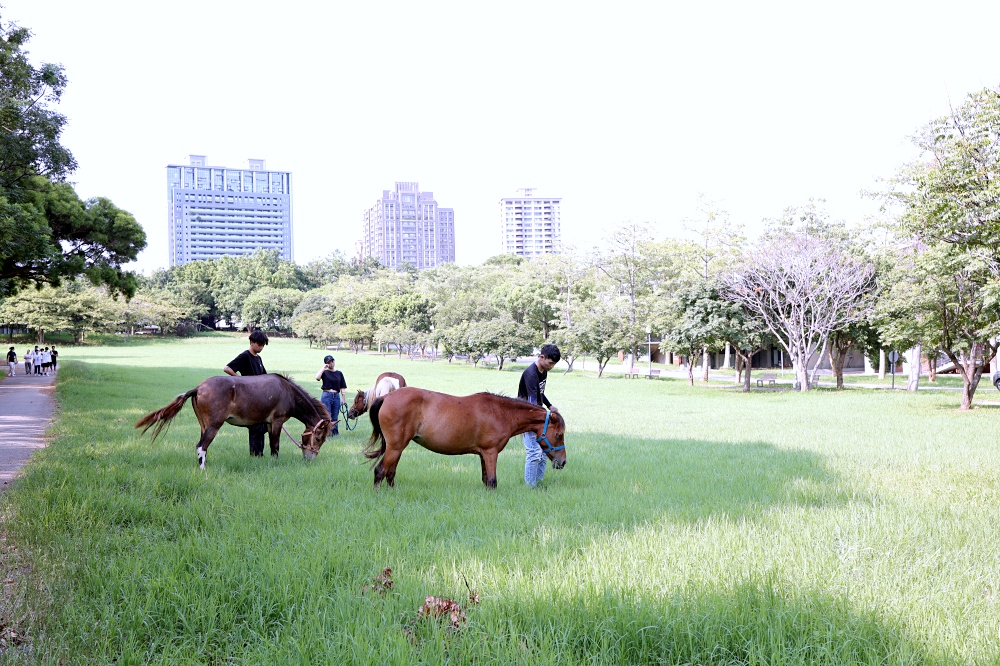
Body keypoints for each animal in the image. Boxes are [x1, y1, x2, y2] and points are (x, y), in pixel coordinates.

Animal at [362, 384, 568, 488]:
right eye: (559, 434)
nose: (563, 462)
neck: (501, 412)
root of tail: (387, 397)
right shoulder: (491, 452)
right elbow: (492, 482)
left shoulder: (484, 454)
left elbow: (486, 481)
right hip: (395, 447)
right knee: (380, 471)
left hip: (397, 448)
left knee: (390, 473)